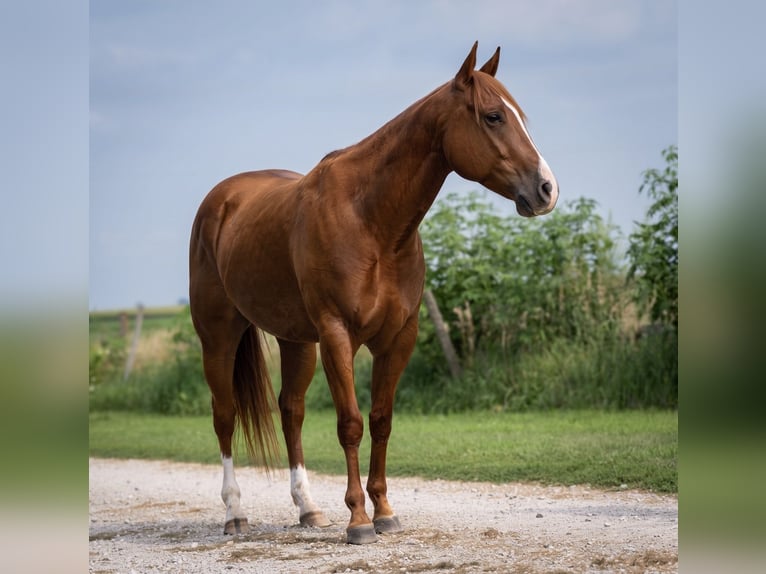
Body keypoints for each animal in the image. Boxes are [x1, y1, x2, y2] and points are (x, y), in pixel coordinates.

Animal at [189, 42, 558, 545]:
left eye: (520, 115)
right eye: (494, 116)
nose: (546, 189)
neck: (370, 221)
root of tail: (221, 200)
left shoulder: (398, 337)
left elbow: (382, 421)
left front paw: (384, 511)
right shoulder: (337, 335)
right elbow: (351, 424)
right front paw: (359, 521)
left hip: (295, 342)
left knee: (291, 411)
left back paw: (308, 508)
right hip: (219, 337)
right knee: (224, 415)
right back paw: (234, 513)